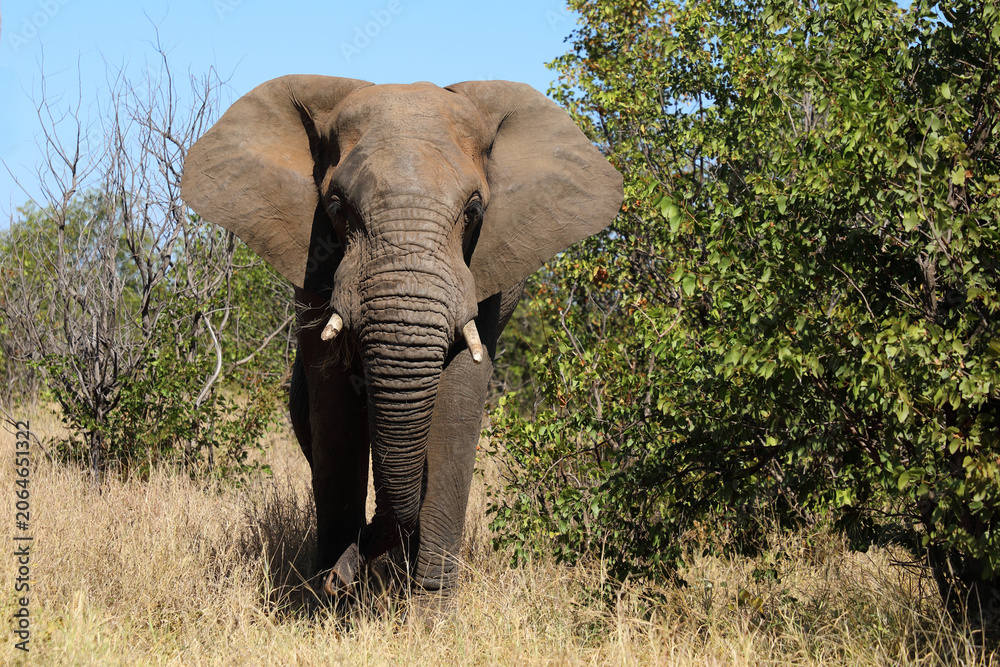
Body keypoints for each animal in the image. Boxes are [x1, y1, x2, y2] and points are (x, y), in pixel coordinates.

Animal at [180, 75, 622, 602]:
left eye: (474, 211)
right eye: (336, 207)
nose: (339, 578)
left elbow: (456, 404)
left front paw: (429, 611)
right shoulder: (314, 266)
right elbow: (335, 412)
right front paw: (327, 606)